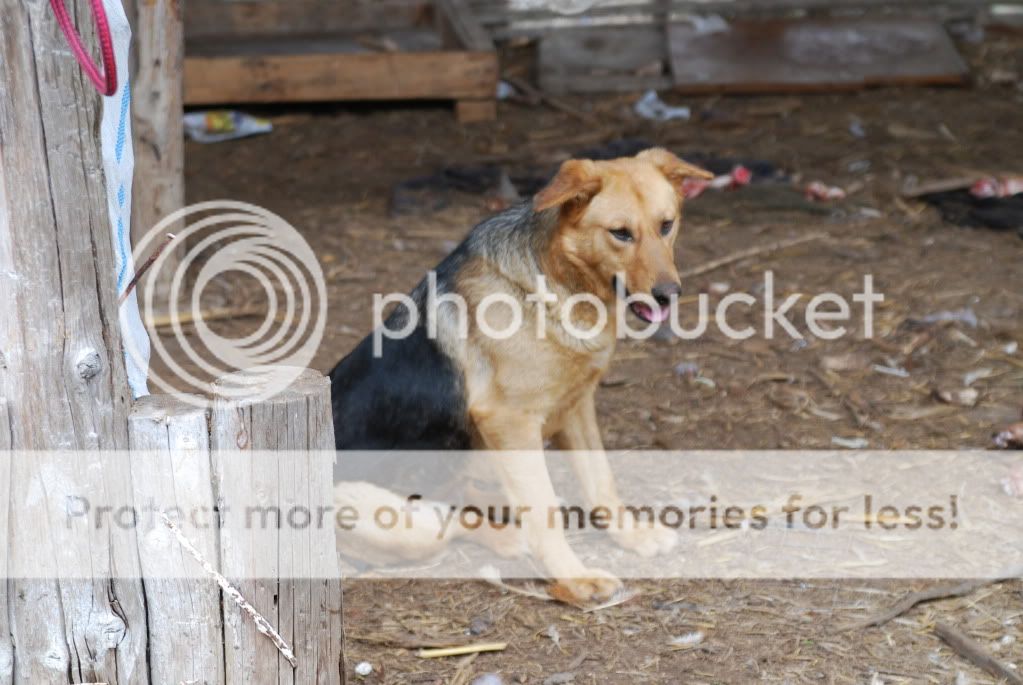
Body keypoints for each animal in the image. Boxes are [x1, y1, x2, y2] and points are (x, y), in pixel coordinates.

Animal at [331, 147, 716, 605]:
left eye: (666, 225)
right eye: (620, 234)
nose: (670, 295)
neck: (559, 282)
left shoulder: (576, 407)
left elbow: (601, 481)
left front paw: (631, 534)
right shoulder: (509, 421)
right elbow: (544, 511)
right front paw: (574, 577)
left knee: (460, 495)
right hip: (401, 523)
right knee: (451, 520)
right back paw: (510, 534)